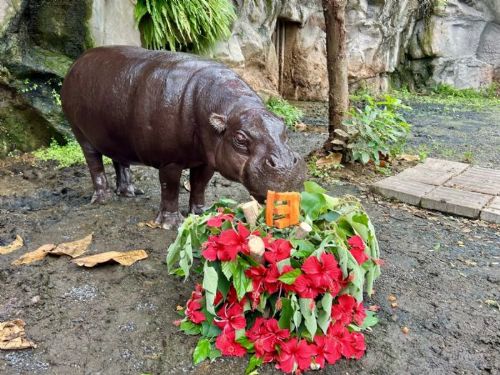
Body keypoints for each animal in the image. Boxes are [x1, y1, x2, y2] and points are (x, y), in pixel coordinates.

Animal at [62, 47, 304, 229]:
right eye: (240, 139)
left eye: (284, 129)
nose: (285, 166)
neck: (234, 109)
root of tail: (77, 62)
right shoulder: (170, 161)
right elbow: (170, 188)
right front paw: (171, 224)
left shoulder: (207, 161)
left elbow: (199, 185)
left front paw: (202, 213)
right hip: (81, 135)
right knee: (95, 166)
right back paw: (103, 199)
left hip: (116, 136)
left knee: (120, 161)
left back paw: (130, 192)